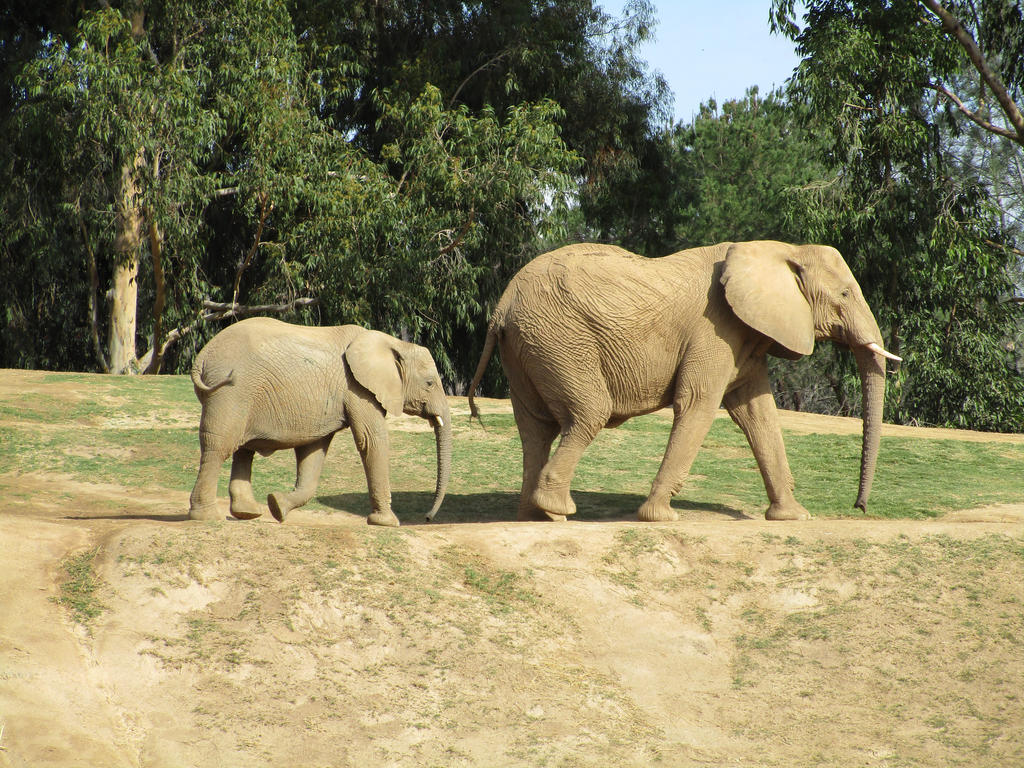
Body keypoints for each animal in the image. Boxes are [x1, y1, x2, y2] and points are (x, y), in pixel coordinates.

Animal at [188, 317, 451, 526]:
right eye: (429, 383)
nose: (427, 518)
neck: (392, 342)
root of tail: (203, 355)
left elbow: (313, 454)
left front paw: (277, 506)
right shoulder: (357, 388)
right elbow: (371, 440)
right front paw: (387, 523)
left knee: (243, 449)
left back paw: (248, 513)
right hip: (231, 392)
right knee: (219, 445)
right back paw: (206, 517)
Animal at [467, 240, 900, 522]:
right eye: (844, 294)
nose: (859, 507)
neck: (779, 249)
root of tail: (502, 305)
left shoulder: (744, 334)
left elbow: (757, 412)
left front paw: (793, 518)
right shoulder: (715, 329)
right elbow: (698, 403)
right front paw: (660, 518)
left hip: (528, 346)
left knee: (535, 428)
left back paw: (535, 517)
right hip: (559, 340)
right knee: (589, 414)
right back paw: (558, 510)